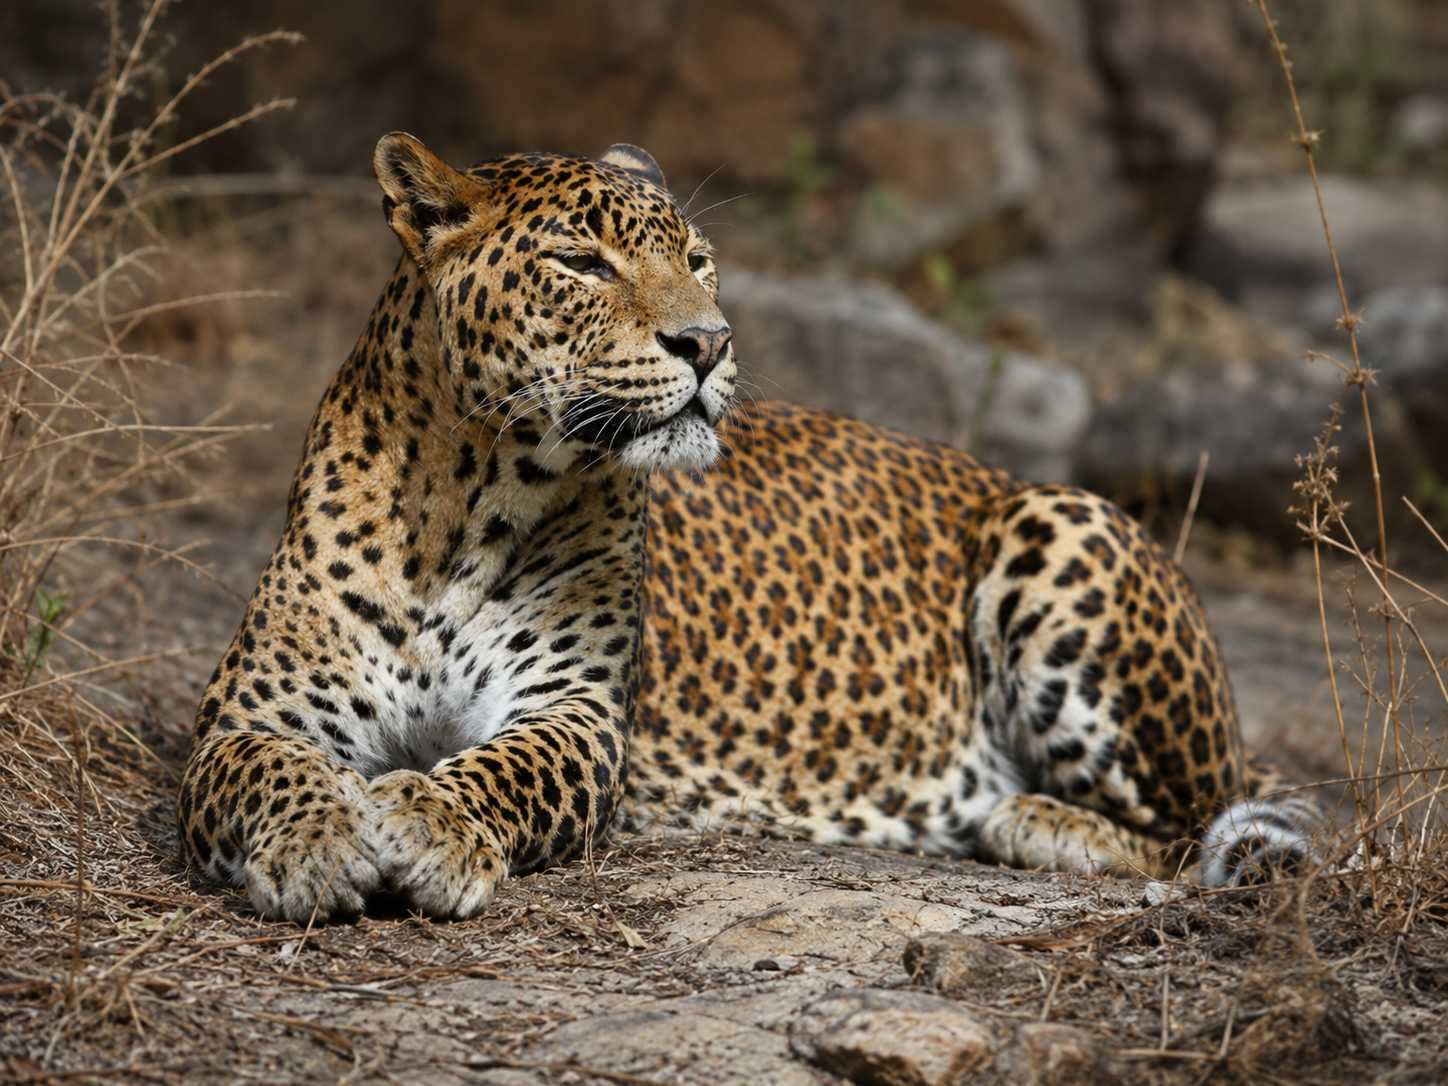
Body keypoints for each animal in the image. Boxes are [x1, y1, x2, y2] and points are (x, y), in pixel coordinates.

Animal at [177, 134, 1320, 923]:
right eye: (581, 264)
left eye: (699, 260)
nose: (709, 341)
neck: (470, 499)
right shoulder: (252, 713)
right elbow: (267, 771)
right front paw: (318, 843)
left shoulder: (576, 714)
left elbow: (507, 767)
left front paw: (424, 822)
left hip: (1062, 521)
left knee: (1187, 824)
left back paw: (1026, 819)